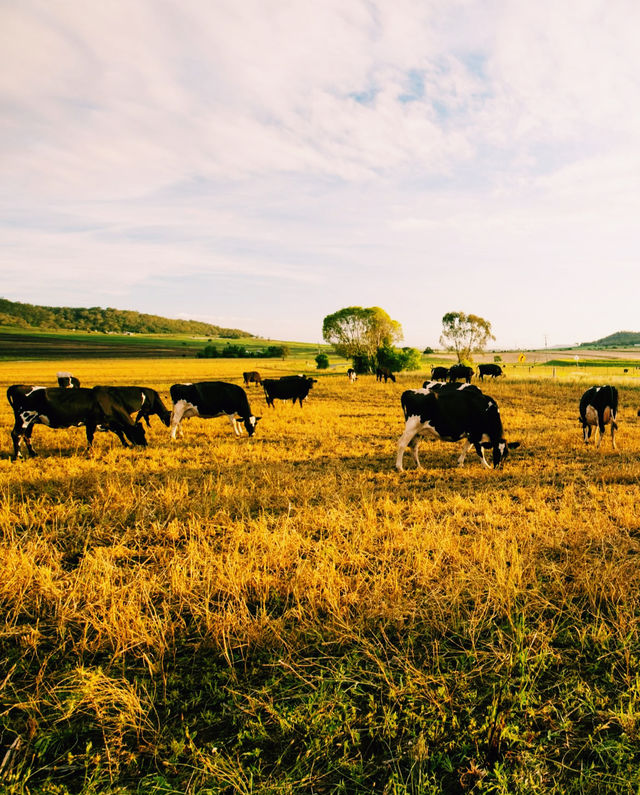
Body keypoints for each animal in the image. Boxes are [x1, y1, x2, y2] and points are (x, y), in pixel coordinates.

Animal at [6, 386, 147, 460]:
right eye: (140, 433)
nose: (145, 444)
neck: (106, 402)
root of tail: (17, 386)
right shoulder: (92, 422)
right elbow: (90, 437)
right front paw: (90, 452)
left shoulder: (106, 422)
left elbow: (119, 432)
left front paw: (126, 444)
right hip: (24, 418)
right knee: (16, 434)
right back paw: (18, 456)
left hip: (31, 421)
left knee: (26, 435)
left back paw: (33, 453)